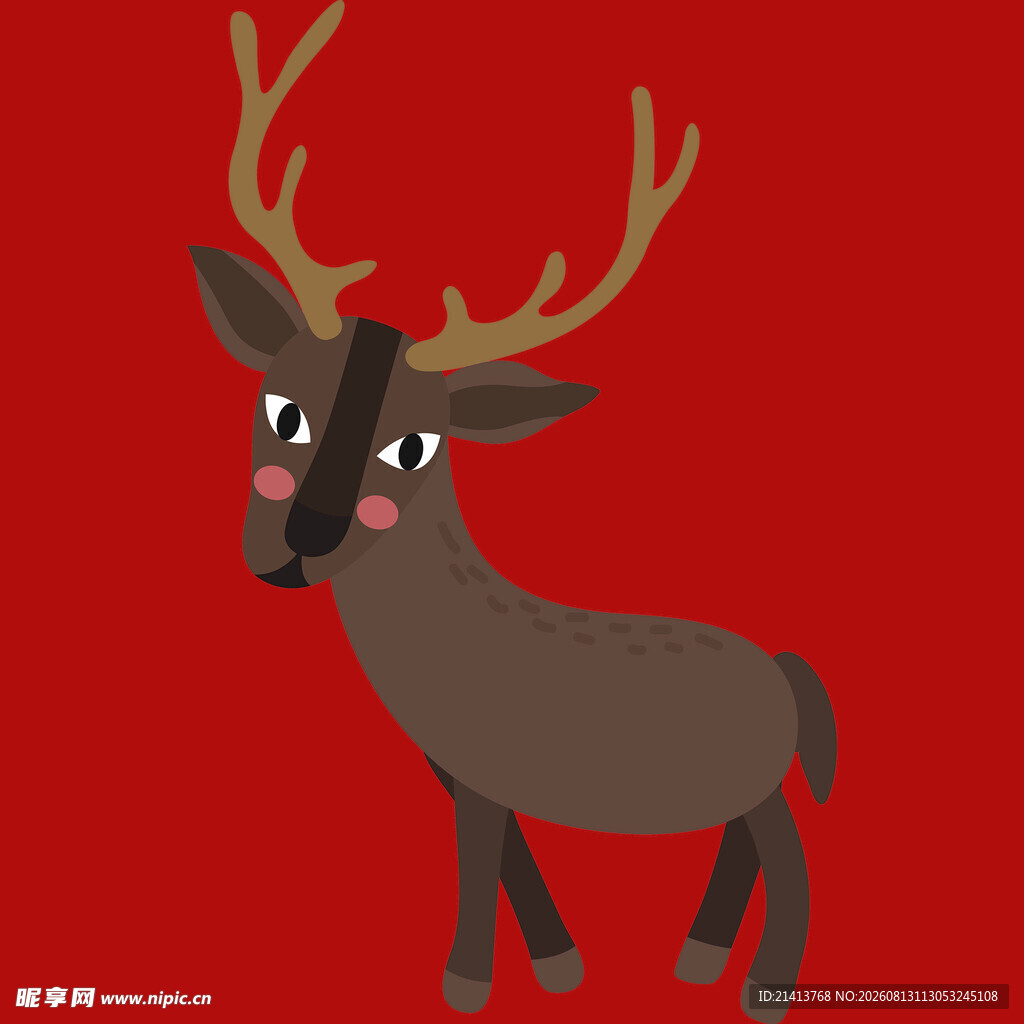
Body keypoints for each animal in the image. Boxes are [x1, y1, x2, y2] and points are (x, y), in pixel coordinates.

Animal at [189, 4, 837, 1021]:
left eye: (415, 447)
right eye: (281, 408)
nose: (299, 546)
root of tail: (787, 672)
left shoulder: (483, 764)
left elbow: (478, 856)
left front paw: (464, 983)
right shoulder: (461, 764)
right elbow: (506, 852)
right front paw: (560, 967)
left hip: (766, 785)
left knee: (791, 856)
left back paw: (761, 985)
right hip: (745, 784)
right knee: (745, 845)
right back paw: (696, 958)